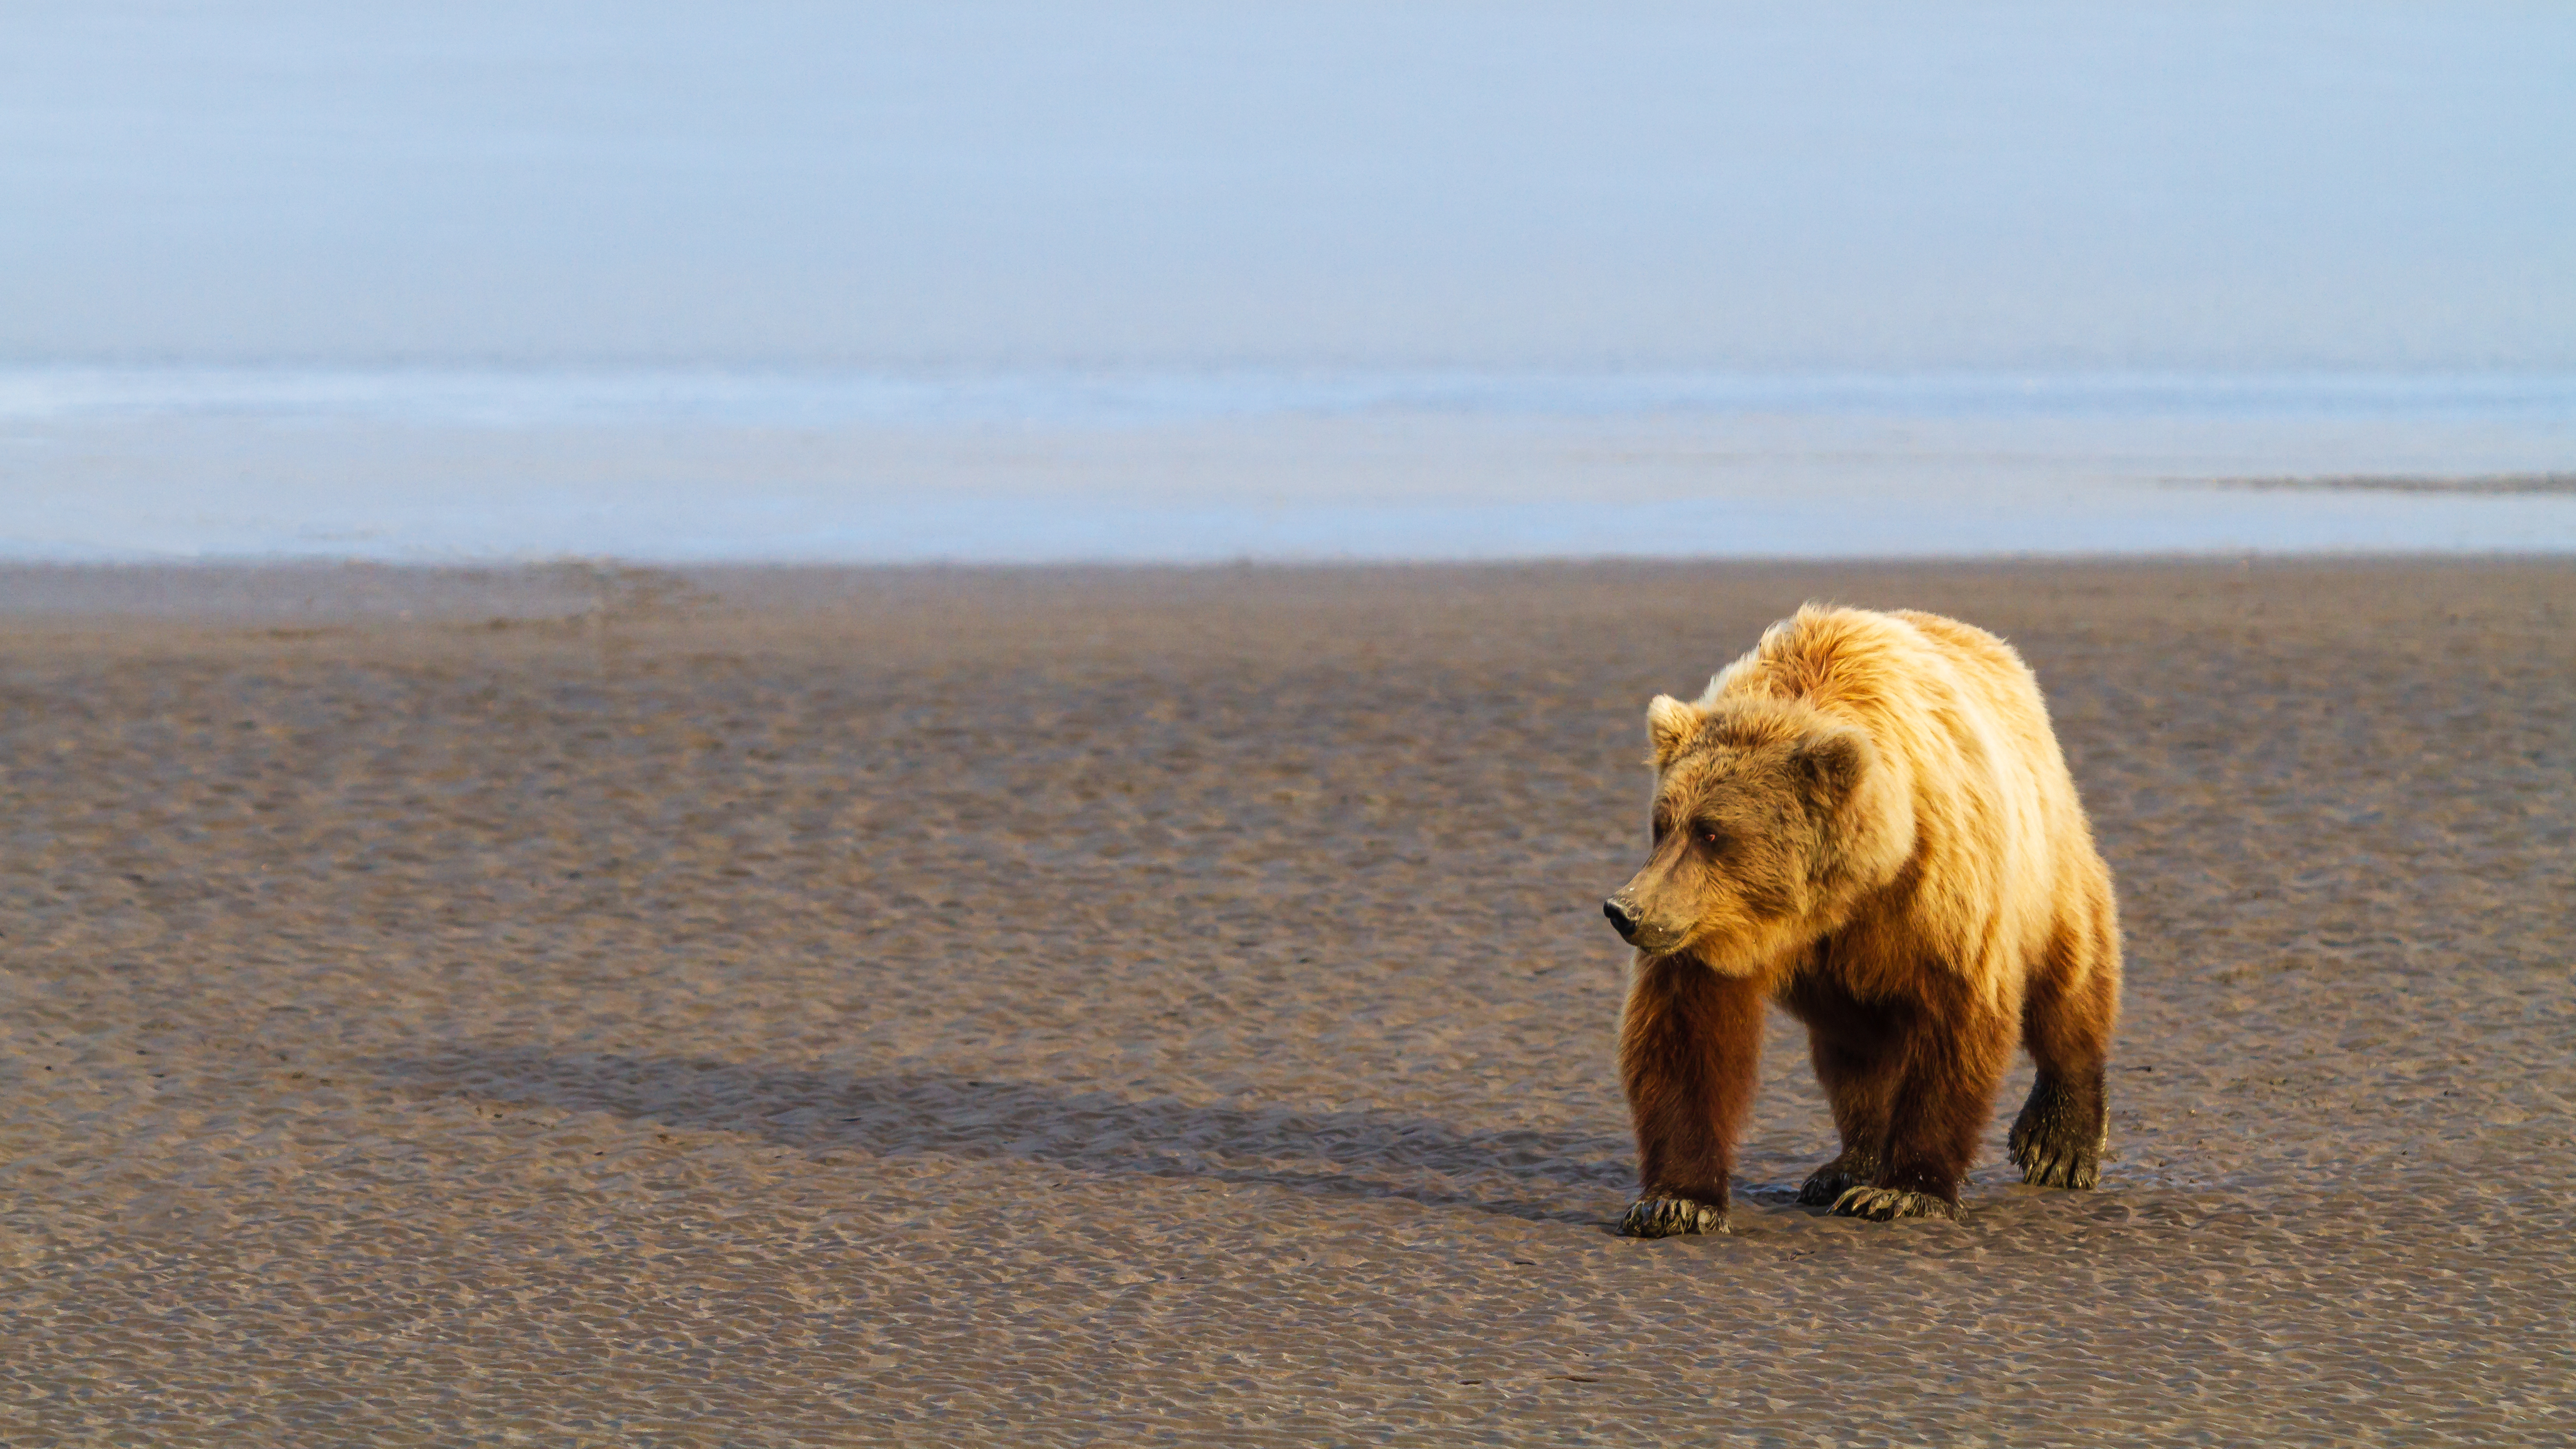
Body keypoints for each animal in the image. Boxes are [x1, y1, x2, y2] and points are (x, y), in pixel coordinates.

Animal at [1601, 604, 2121, 1233]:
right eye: (1662, 823)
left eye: (1711, 833)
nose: (1625, 910)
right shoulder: (1705, 931)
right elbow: (1685, 1037)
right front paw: (1675, 1201)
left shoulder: (1941, 891)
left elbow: (1956, 1024)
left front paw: (1902, 1191)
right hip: (1838, 984)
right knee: (1855, 1054)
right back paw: (1846, 1166)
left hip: (2045, 856)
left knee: (2068, 978)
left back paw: (2058, 1143)